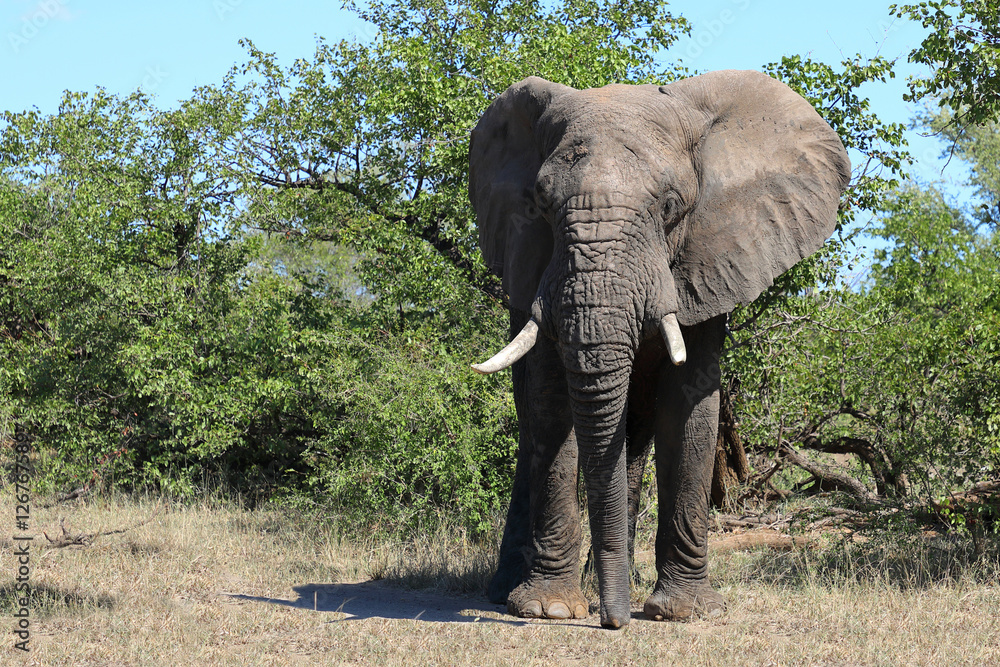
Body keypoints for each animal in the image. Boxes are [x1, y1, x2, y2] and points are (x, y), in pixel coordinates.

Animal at [469, 70, 850, 629]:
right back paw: (515, 592)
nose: (612, 622)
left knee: (633, 433)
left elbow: (688, 406)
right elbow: (550, 405)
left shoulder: (712, 256)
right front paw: (551, 609)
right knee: (536, 426)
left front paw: (683, 612)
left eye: (670, 208)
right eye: (539, 202)